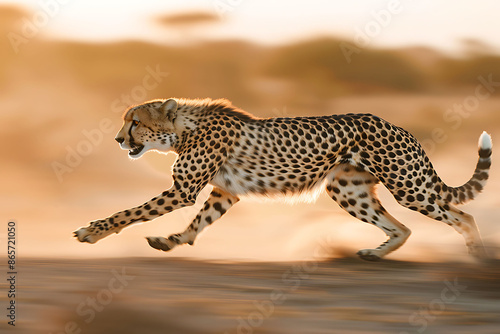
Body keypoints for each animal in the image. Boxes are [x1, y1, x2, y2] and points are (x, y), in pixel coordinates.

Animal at [74, 98, 492, 260]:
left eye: (135, 122)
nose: (118, 139)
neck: (183, 129)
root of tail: (398, 125)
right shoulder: (225, 192)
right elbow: (200, 223)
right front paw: (171, 240)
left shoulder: (182, 190)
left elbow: (130, 213)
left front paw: (91, 231)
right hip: (348, 189)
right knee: (402, 227)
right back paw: (376, 252)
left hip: (409, 186)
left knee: (462, 216)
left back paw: (478, 255)